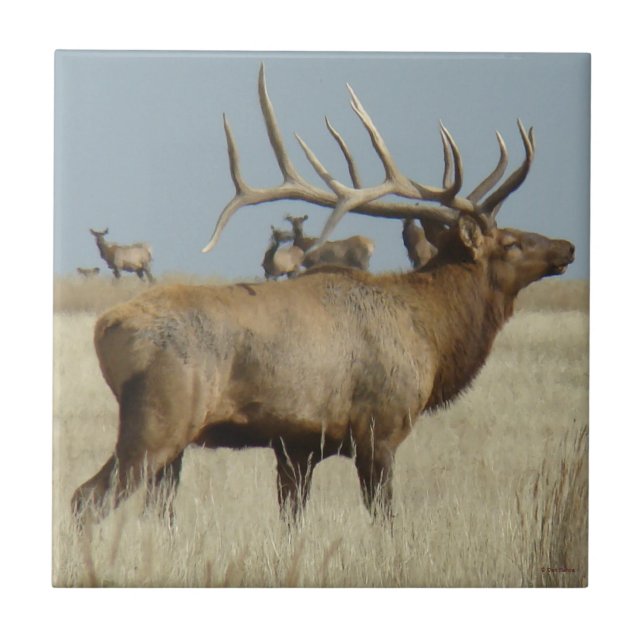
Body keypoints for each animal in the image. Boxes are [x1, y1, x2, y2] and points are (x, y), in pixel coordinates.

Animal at [72, 65, 574, 527]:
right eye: (511, 242)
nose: (566, 246)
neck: (431, 336)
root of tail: (105, 327)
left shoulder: (297, 446)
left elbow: (291, 521)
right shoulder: (379, 428)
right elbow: (385, 519)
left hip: (172, 440)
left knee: (154, 510)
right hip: (159, 419)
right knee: (86, 498)